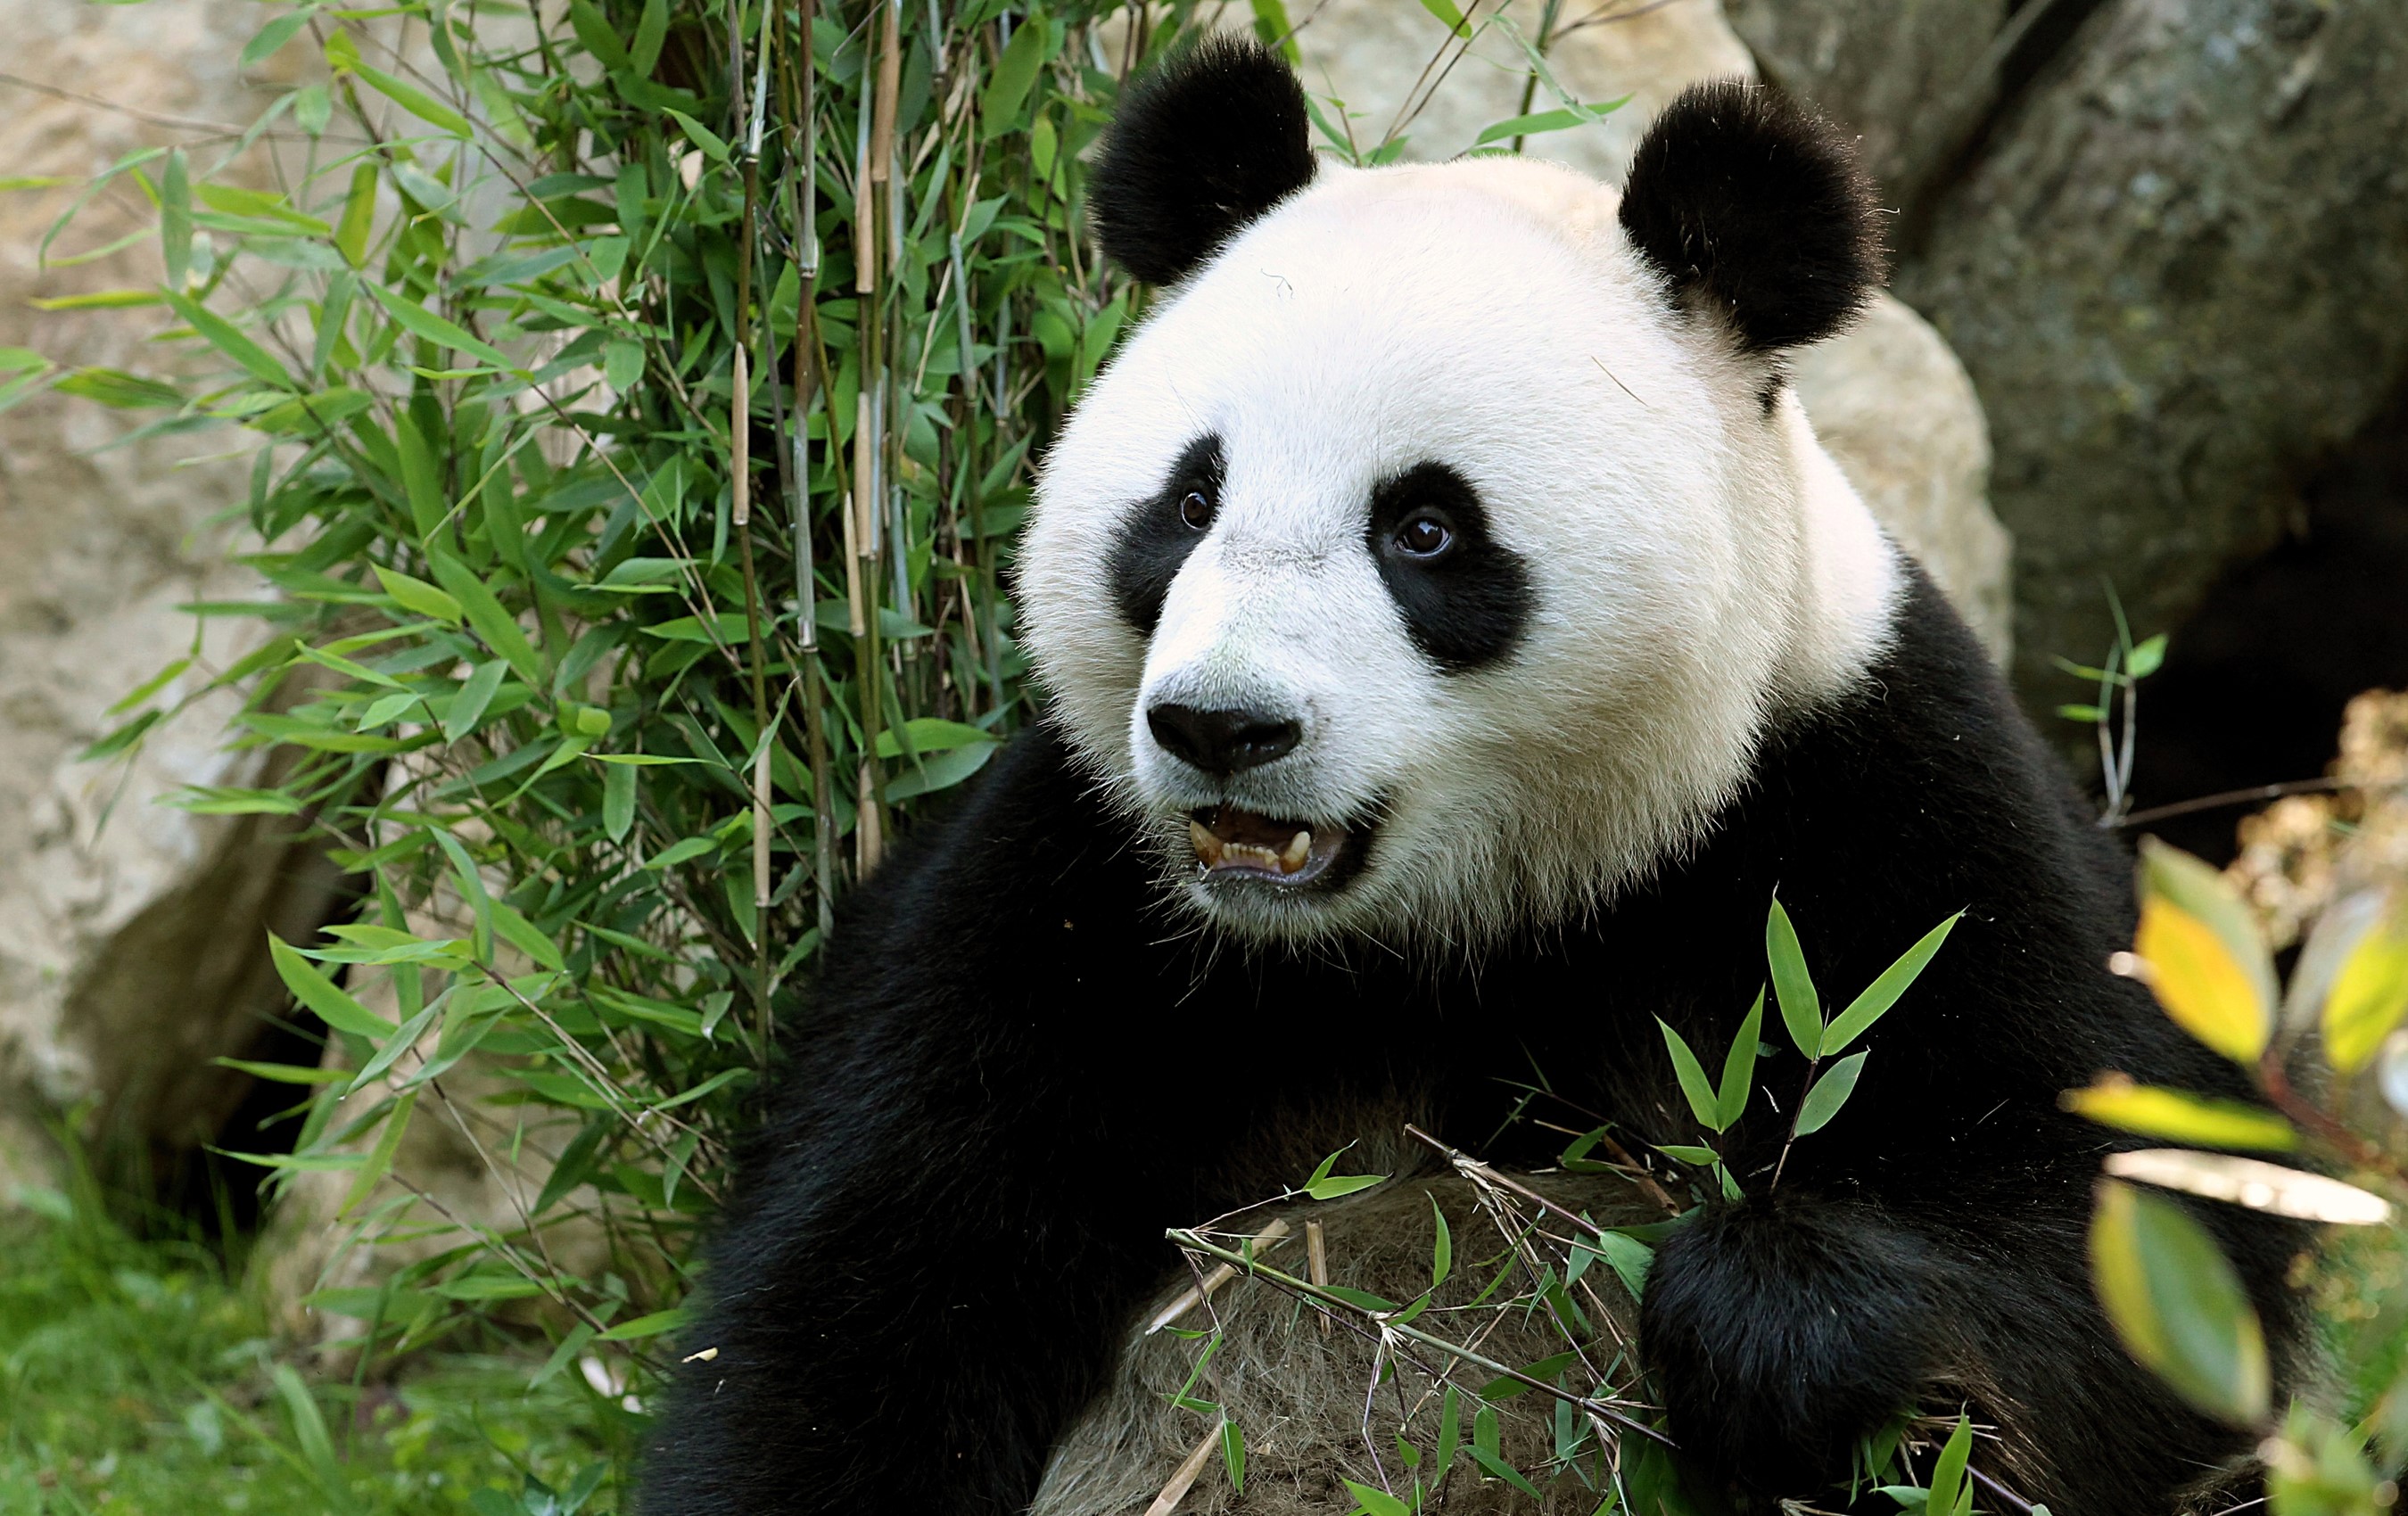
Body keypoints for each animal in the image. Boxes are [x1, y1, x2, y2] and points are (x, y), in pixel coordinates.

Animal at [641, 38, 2307, 1516]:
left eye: (1426, 529)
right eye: (1189, 503)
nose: (1224, 728)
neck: (1444, 928)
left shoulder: (1871, 806)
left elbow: (2145, 1242)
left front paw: (1760, 1319)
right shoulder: (1073, 891)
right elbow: (863, 1297)